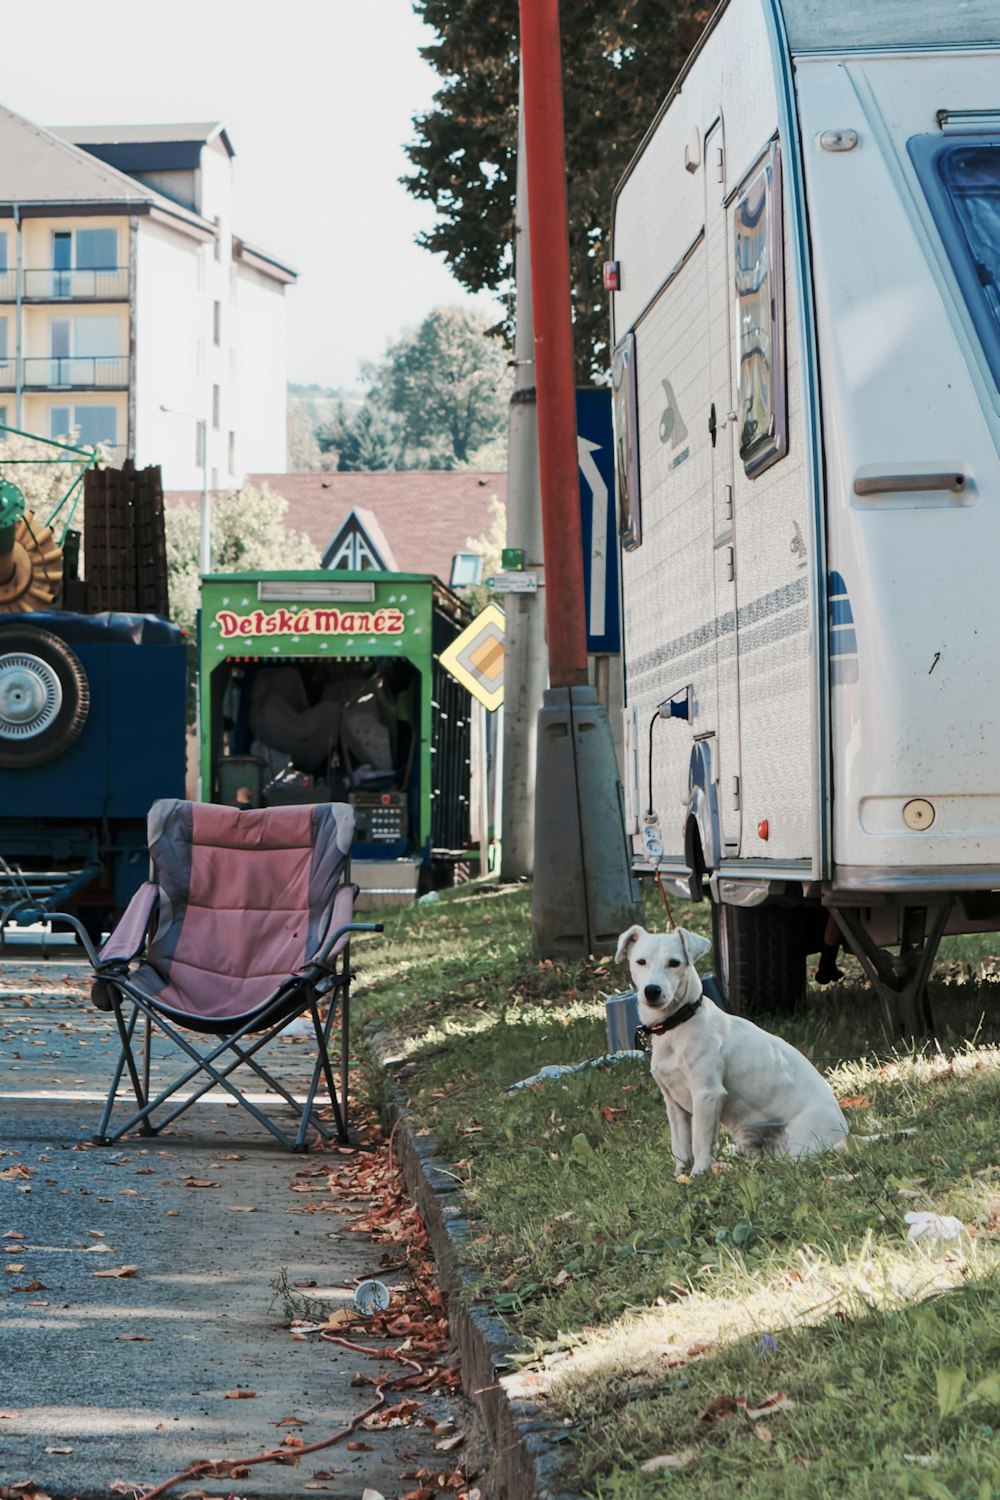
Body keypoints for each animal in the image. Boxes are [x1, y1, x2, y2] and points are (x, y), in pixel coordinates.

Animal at [614, 918, 851, 1176]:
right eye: (641, 962)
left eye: (674, 963)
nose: (652, 991)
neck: (677, 1026)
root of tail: (845, 1136)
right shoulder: (674, 1104)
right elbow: (680, 1147)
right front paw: (679, 1176)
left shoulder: (707, 1094)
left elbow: (700, 1142)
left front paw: (698, 1175)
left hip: (799, 1148)